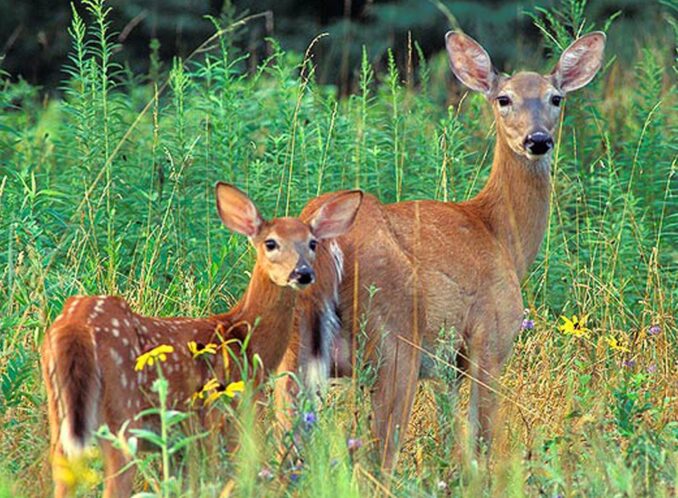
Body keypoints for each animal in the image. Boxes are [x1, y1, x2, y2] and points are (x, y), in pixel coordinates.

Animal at [40, 184, 364, 498]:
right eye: (271, 243)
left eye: (312, 243)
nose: (302, 273)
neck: (243, 335)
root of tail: (76, 326)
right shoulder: (225, 416)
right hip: (124, 414)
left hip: (62, 418)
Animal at [290, 30, 608, 466]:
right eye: (503, 98)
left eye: (556, 98)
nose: (538, 140)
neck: (500, 235)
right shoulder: (491, 337)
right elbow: (483, 441)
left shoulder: (446, 370)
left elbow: (454, 442)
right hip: (394, 345)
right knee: (378, 458)